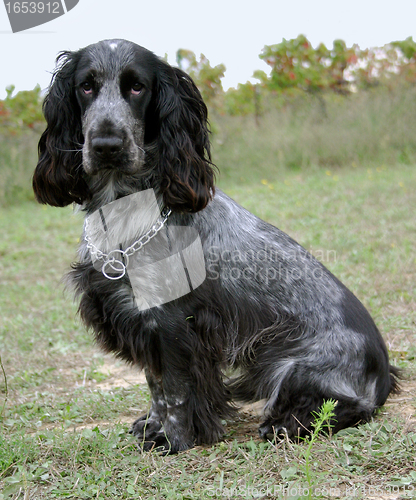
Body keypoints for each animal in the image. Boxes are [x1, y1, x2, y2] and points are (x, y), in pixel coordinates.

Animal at [31, 39, 396, 454]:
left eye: (137, 87)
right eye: (86, 86)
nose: (107, 144)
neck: (127, 208)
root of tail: (384, 372)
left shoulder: (172, 324)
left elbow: (174, 390)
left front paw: (174, 440)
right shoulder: (143, 323)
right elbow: (155, 385)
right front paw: (153, 428)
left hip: (292, 366)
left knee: (347, 405)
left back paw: (286, 423)